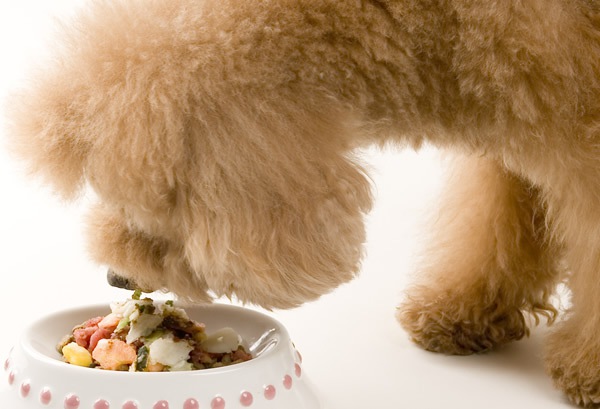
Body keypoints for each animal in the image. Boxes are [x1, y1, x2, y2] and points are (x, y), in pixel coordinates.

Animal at [8, 0, 600, 404]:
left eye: (144, 204)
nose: (116, 279)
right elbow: (498, 225)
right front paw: (463, 312)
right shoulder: (521, 114)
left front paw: (589, 372)